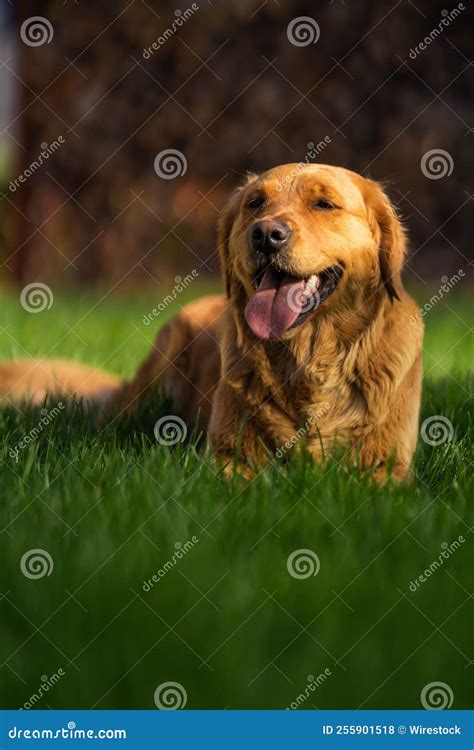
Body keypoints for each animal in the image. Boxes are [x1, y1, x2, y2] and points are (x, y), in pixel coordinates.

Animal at [0, 164, 422, 482]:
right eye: (255, 203)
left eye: (323, 204)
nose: (266, 234)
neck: (308, 361)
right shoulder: (227, 455)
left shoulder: (388, 466)